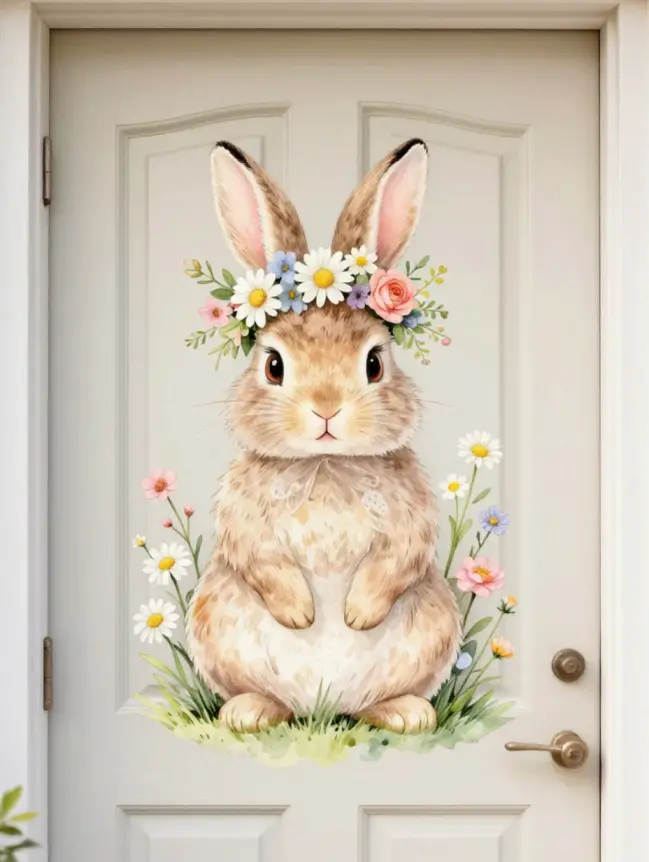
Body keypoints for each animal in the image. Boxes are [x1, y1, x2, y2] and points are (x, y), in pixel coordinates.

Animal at [186, 138, 462, 735]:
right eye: (273, 365)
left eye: (375, 363)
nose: (327, 411)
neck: (324, 464)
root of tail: (326, 707)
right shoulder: (244, 524)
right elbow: (260, 559)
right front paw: (301, 613)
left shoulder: (411, 524)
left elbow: (398, 559)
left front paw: (356, 615)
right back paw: (248, 712)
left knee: (373, 705)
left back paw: (407, 714)